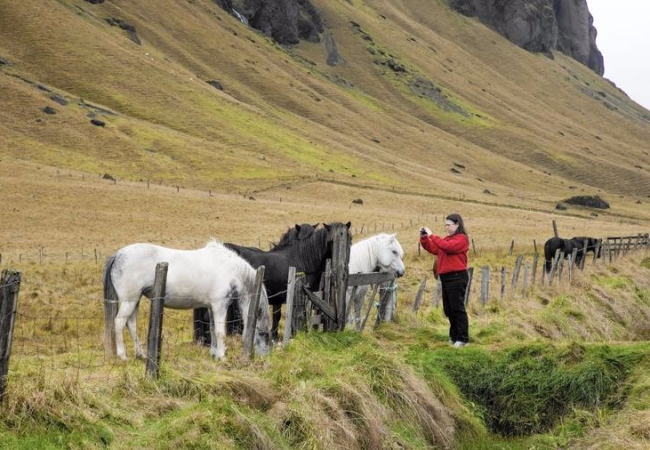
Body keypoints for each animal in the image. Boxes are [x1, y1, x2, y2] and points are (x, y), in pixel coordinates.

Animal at [102, 241, 270, 360]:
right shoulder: (219, 305)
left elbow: (212, 330)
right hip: (129, 301)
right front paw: (222, 356)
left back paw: (141, 354)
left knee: (131, 324)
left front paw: (214, 353)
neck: (228, 269)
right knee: (119, 323)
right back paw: (122, 355)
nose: (264, 356)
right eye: (262, 333)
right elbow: (220, 332)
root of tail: (118, 255)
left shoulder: (211, 307)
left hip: (134, 300)